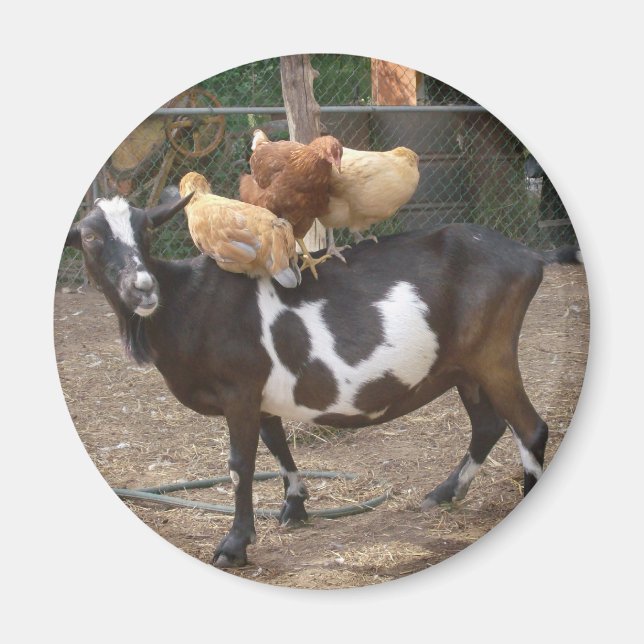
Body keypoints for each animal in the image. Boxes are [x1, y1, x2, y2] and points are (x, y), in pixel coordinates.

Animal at [65, 194, 576, 568]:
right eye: (90, 236)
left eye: (146, 230)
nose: (142, 288)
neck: (187, 302)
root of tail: (529, 255)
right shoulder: (260, 392)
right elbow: (275, 442)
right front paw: (295, 507)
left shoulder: (239, 389)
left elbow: (240, 464)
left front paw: (234, 545)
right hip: (464, 366)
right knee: (488, 425)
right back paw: (442, 494)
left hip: (493, 353)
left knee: (529, 427)